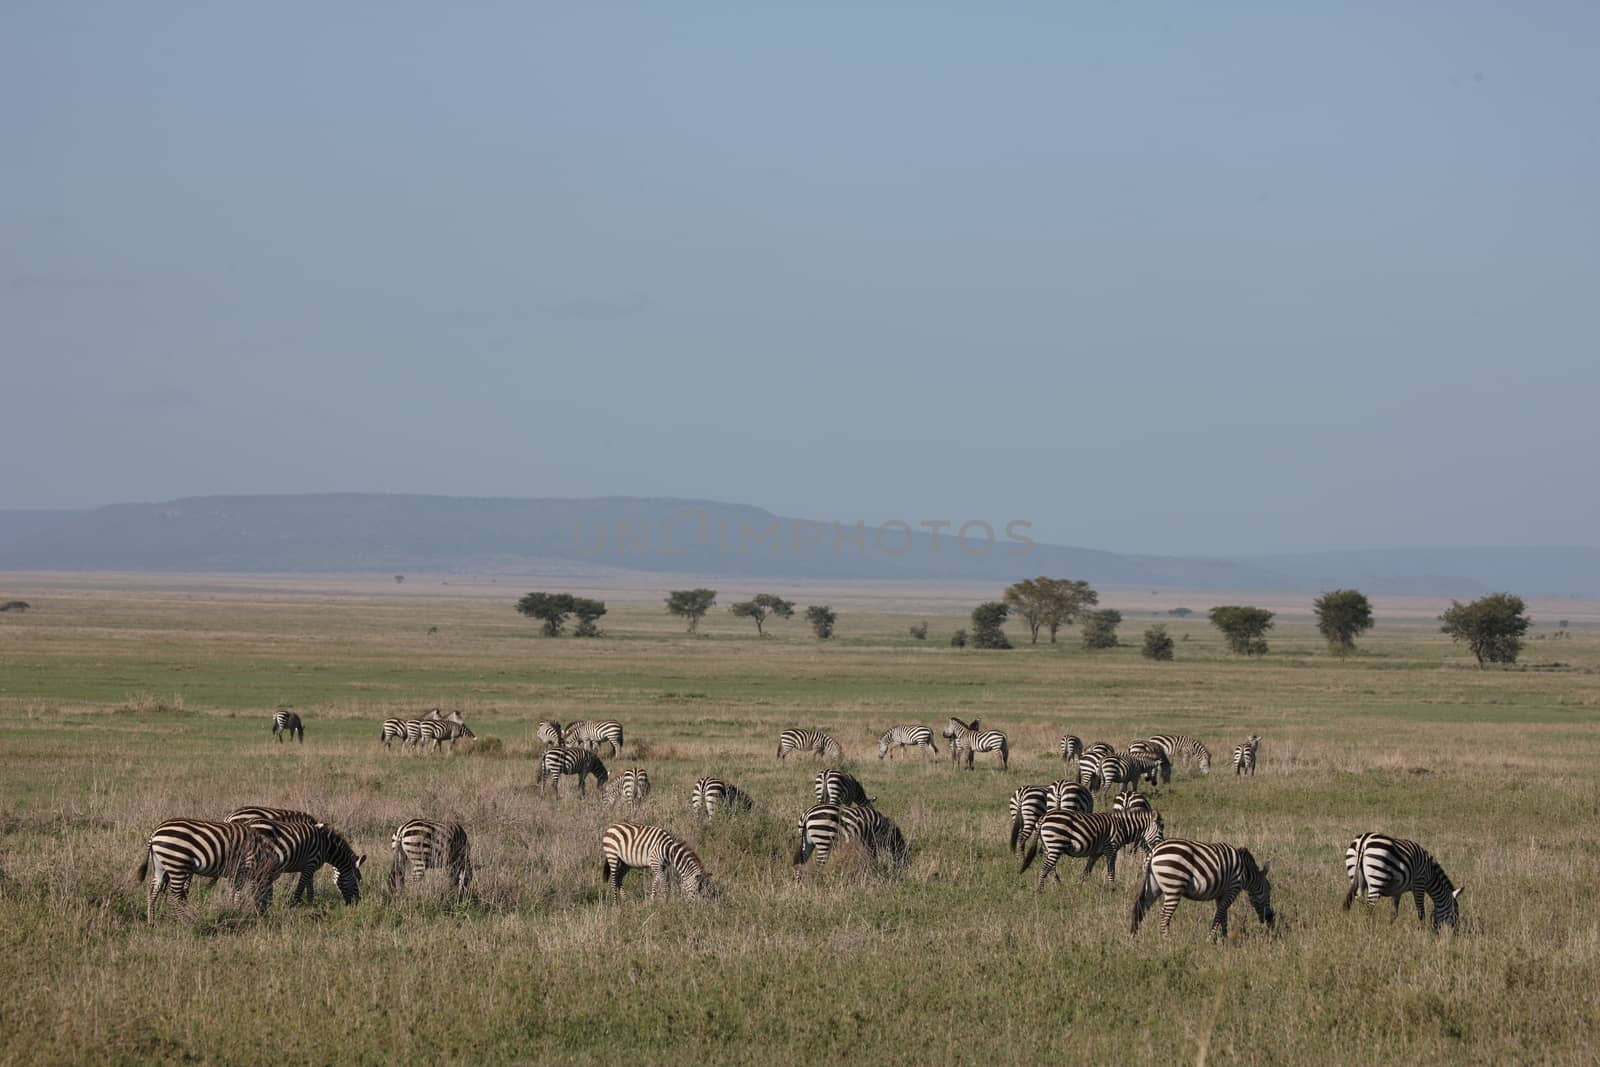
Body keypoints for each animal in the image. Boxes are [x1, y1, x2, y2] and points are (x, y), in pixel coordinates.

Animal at [136, 825, 280, 921]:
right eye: (270, 891)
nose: (264, 915)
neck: (260, 855)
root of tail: (155, 833)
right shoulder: (243, 868)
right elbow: (237, 893)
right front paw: (237, 909)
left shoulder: (235, 872)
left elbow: (232, 892)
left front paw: (232, 909)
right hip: (177, 863)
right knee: (174, 897)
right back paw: (186, 922)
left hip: (160, 865)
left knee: (153, 892)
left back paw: (152, 922)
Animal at [225, 812, 366, 908]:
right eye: (357, 880)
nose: (357, 903)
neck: (326, 847)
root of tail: (245, 824)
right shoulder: (310, 864)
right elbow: (301, 887)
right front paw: (294, 905)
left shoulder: (310, 867)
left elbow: (310, 888)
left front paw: (310, 904)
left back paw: (232, 904)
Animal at [1024, 812, 1164, 889]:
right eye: (1160, 831)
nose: (1161, 846)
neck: (1123, 828)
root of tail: (1043, 817)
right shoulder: (1111, 849)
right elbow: (1111, 871)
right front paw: (1112, 889)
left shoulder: (1095, 853)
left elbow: (1086, 871)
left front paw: (1079, 887)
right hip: (1055, 845)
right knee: (1045, 868)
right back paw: (1041, 890)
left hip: (1048, 847)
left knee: (1051, 868)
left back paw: (1059, 885)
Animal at [1132, 838, 1280, 940]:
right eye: (1269, 891)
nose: (1270, 919)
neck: (1246, 873)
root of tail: (1154, 851)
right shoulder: (1233, 888)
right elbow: (1220, 914)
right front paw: (1210, 938)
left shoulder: (1221, 893)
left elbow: (1223, 915)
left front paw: (1224, 939)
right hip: (1173, 886)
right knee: (1164, 916)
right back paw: (1168, 942)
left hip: (1153, 886)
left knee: (1140, 908)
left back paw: (1134, 938)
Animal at [1337, 838, 1465, 927]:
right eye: (1456, 913)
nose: (1456, 932)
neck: (1430, 874)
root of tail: (1363, 841)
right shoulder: (1419, 883)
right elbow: (1421, 911)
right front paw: (1424, 931)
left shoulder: (1397, 890)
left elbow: (1394, 913)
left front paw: (1390, 927)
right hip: (1376, 878)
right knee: (1369, 908)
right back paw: (1368, 929)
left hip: (1355, 875)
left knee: (1360, 901)